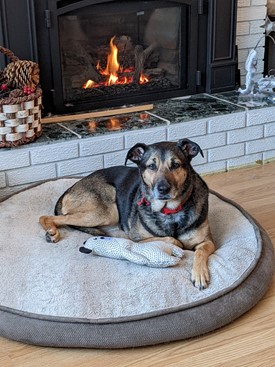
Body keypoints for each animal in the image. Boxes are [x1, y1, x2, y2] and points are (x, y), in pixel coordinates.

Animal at [39, 139, 216, 290]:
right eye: (151, 166)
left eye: (176, 165)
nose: (163, 189)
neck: (169, 210)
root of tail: (69, 189)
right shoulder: (137, 238)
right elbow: (172, 240)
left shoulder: (208, 242)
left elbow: (200, 251)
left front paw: (199, 274)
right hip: (106, 211)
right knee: (47, 217)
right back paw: (52, 232)